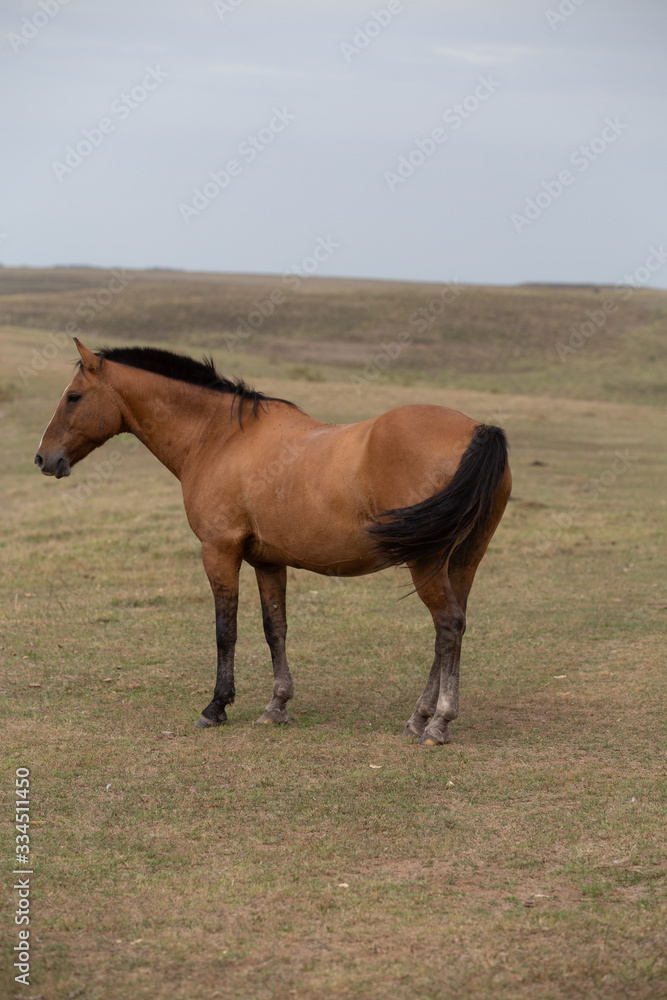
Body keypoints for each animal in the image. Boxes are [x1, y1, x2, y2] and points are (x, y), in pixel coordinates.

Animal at [35, 339, 511, 746]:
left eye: (74, 396)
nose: (43, 458)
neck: (221, 436)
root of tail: (478, 430)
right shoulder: (267, 561)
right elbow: (274, 628)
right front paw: (277, 704)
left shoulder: (219, 551)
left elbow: (225, 629)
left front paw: (216, 706)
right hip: (462, 562)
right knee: (450, 630)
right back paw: (419, 717)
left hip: (428, 563)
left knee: (448, 625)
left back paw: (438, 723)